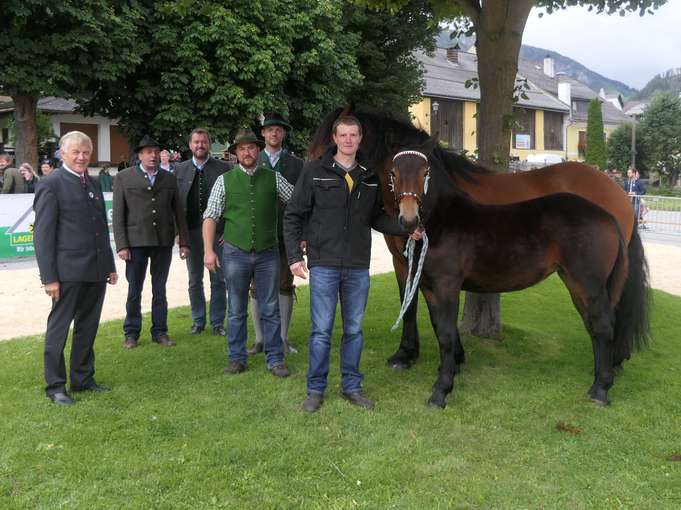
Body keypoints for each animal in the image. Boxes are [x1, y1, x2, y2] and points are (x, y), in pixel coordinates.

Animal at [308, 107, 648, 376]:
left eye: (331, 141)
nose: (310, 176)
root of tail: (616, 190)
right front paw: (450, 356)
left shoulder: (407, 261)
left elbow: (412, 304)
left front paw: (407, 355)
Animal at [386, 145, 644, 408]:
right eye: (393, 174)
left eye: (425, 173)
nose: (408, 219)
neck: (445, 220)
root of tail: (609, 216)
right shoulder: (430, 288)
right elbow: (439, 329)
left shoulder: (447, 286)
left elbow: (447, 335)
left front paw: (441, 391)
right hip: (577, 285)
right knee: (594, 325)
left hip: (589, 285)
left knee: (602, 325)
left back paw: (601, 389)